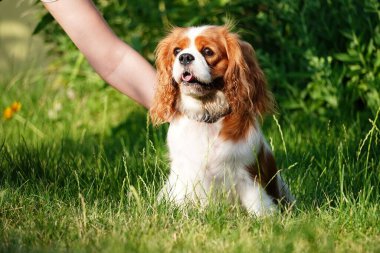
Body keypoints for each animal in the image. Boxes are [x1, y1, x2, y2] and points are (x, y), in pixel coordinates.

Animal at [149, 25, 294, 215]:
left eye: (208, 51)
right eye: (177, 51)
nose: (185, 57)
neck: (206, 113)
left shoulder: (246, 174)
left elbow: (258, 204)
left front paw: (265, 218)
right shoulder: (183, 174)